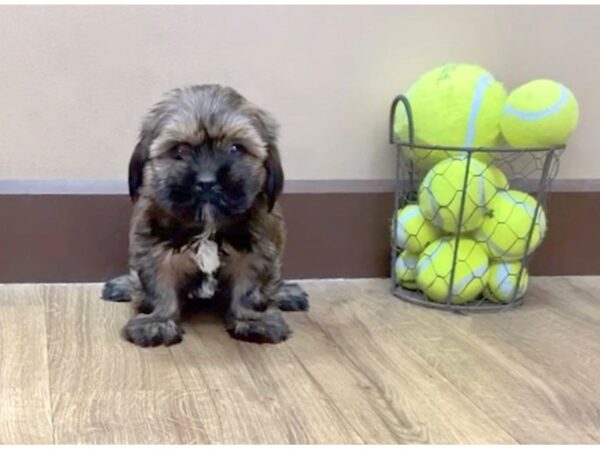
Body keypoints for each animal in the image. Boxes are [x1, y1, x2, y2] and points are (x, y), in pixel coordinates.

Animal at [101, 86, 308, 346]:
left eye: (235, 148)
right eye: (180, 150)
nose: (207, 182)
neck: (208, 226)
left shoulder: (257, 252)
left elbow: (250, 290)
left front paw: (253, 320)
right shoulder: (153, 250)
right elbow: (159, 287)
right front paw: (157, 321)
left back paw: (286, 292)